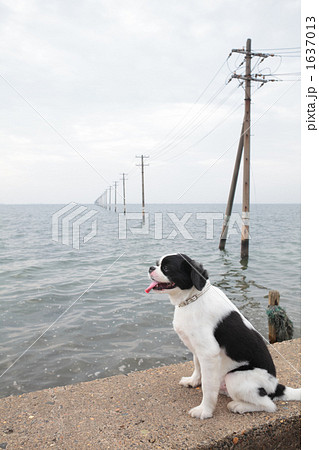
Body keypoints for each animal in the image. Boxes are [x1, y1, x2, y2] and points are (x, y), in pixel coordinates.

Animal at [146, 253, 302, 418]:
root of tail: (275, 386)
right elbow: (197, 366)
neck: (192, 299)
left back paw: (238, 406)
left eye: (166, 268)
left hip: (234, 377)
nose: (150, 268)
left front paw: (205, 411)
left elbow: (207, 386)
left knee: (269, 405)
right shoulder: (197, 349)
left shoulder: (209, 353)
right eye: (157, 264)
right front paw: (193, 381)